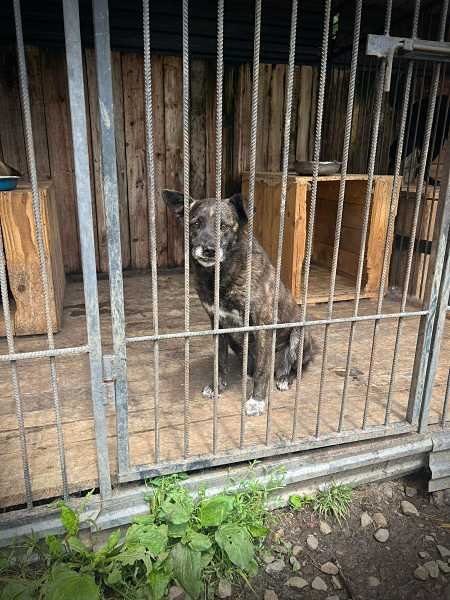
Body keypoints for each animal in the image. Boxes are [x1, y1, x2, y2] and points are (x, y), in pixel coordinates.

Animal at [163, 190, 314, 414]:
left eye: (224, 226)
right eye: (196, 223)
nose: (208, 250)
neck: (221, 275)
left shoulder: (262, 325)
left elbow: (262, 370)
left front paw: (257, 400)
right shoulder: (217, 324)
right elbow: (220, 361)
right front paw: (217, 387)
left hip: (298, 334)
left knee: (295, 367)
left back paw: (285, 378)